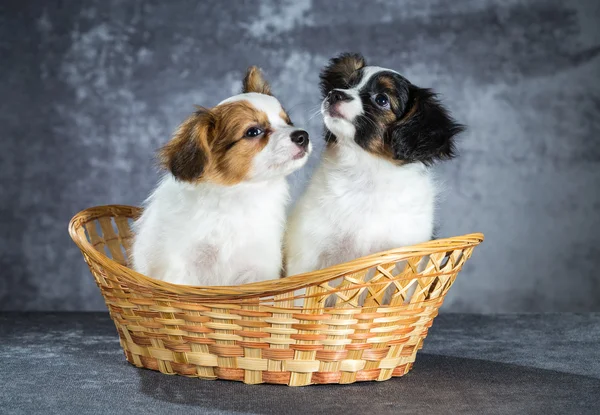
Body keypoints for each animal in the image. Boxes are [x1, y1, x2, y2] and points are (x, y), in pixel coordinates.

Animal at [131, 67, 310, 286]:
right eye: (253, 131)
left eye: (288, 122)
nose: (303, 136)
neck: (239, 196)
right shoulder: (183, 267)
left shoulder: (258, 267)